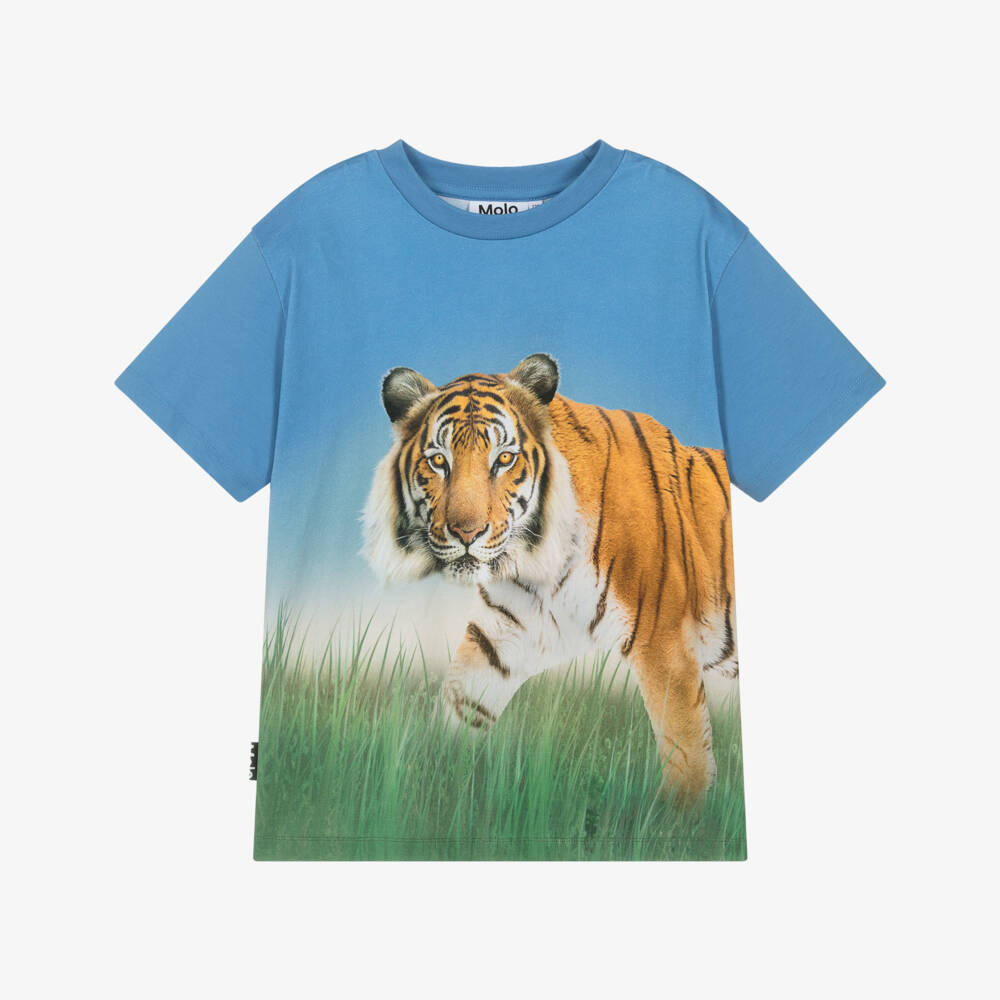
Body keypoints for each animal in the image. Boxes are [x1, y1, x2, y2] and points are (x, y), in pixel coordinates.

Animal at [362, 353, 737, 801]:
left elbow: (687, 758)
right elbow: (456, 712)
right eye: (439, 461)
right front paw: (426, 789)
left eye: (503, 459)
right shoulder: (499, 637)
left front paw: (678, 817)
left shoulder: (665, 644)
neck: (538, 563)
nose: (467, 533)